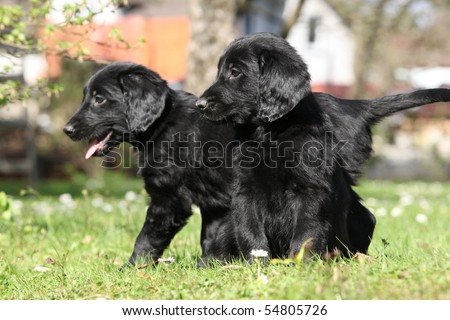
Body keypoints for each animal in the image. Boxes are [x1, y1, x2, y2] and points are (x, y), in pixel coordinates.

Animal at [64, 62, 239, 264]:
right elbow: (212, 234)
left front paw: (133, 266)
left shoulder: (170, 197)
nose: (66, 130)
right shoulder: (214, 201)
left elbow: (146, 238)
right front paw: (211, 263)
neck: (161, 124)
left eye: (99, 99)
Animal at [197, 32, 450, 262]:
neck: (271, 134)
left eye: (235, 72)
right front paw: (256, 264)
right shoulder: (246, 190)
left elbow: (306, 231)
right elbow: (250, 231)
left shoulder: (311, 188)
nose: (200, 104)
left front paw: (300, 264)